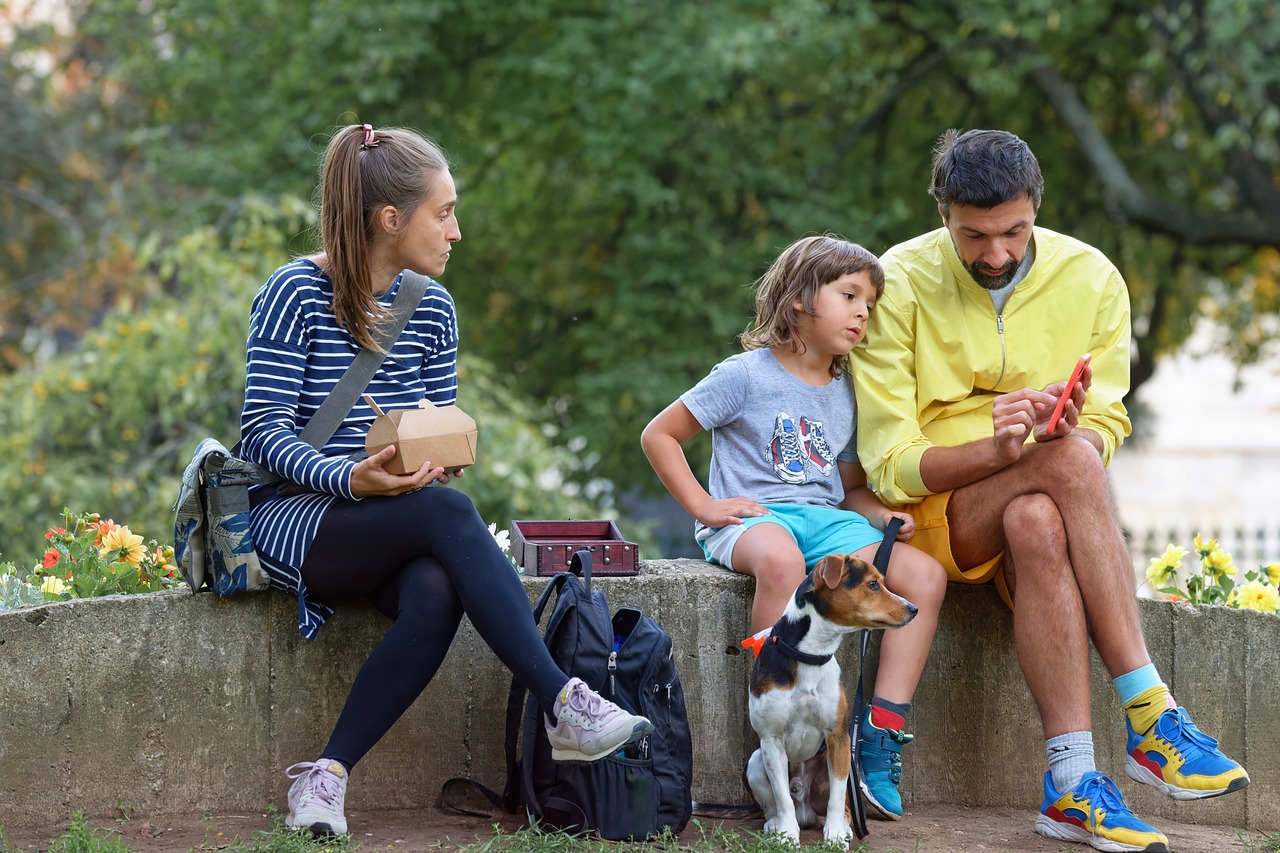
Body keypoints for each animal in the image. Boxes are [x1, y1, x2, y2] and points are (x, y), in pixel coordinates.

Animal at [747, 550, 916, 845]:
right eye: (873, 584)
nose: (914, 608)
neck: (811, 655)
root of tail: (806, 808)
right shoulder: (771, 740)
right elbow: (781, 799)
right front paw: (787, 834)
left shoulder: (838, 738)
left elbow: (837, 798)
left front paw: (835, 833)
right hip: (755, 763)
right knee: (774, 804)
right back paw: (774, 824)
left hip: (847, 767)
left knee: (844, 802)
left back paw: (846, 826)